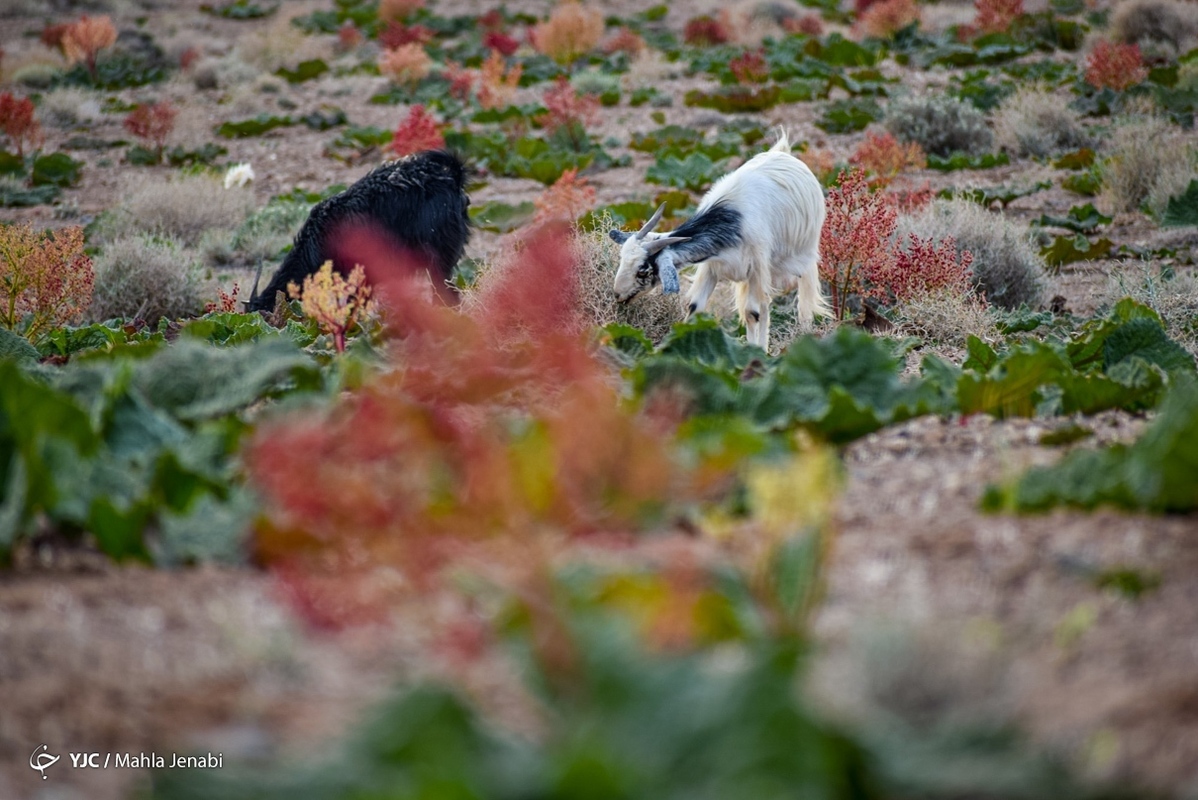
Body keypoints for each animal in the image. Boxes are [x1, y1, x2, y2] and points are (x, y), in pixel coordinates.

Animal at [613, 131, 829, 349]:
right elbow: (695, 307)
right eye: (622, 260)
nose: (617, 295)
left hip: (803, 256)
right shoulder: (711, 267)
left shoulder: (756, 266)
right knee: (766, 303)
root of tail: (783, 152)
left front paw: (754, 351)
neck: (732, 219)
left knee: (803, 305)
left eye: (643, 270)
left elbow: (751, 313)